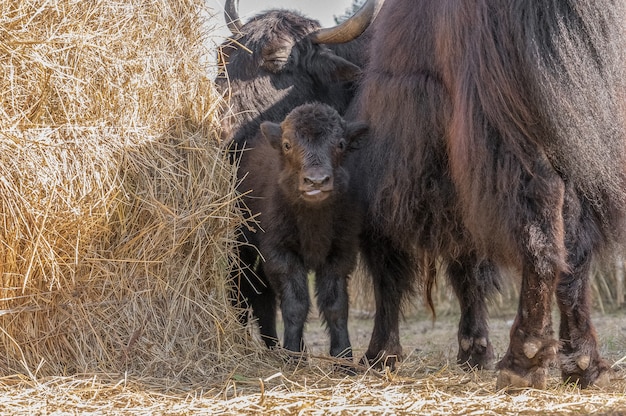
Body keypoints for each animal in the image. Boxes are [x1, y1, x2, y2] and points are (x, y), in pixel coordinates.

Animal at [229, 102, 366, 362]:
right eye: (287, 144)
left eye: (340, 143)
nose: (316, 181)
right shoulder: (280, 253)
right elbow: (295, 304)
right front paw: (293, 354)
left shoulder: (340, 253)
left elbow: (335, 305)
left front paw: (343, 358)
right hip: (243, 249)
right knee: (245, 291)